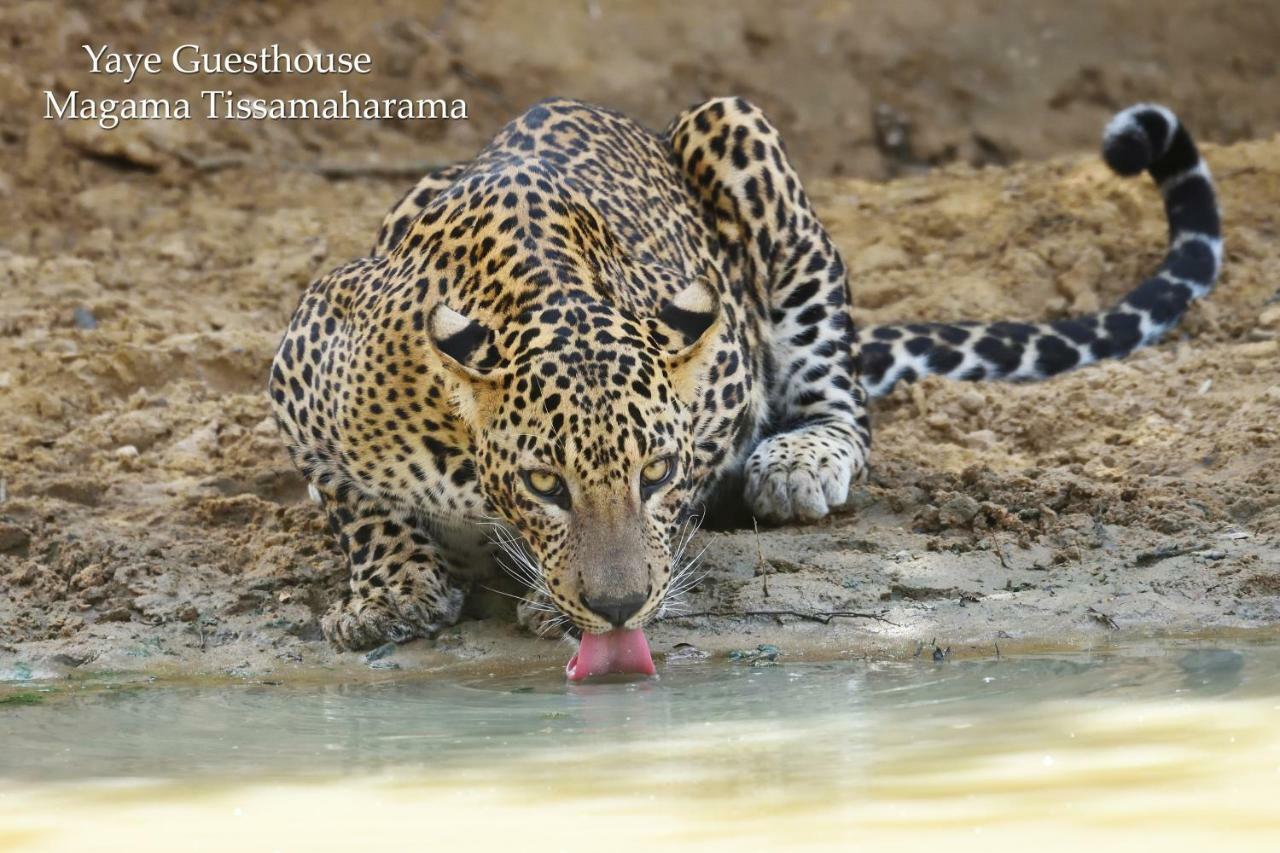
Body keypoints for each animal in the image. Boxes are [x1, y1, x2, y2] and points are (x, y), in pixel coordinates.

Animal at [267, 96, 1218, 648]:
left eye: (654, 472)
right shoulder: (303, 360)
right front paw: (391, 592)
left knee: (844, 400)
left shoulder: (717, 380)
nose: (619, 610)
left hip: (739, 136)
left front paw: (567, 595)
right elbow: (357, 504)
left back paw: (799, 462)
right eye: (545, 483)